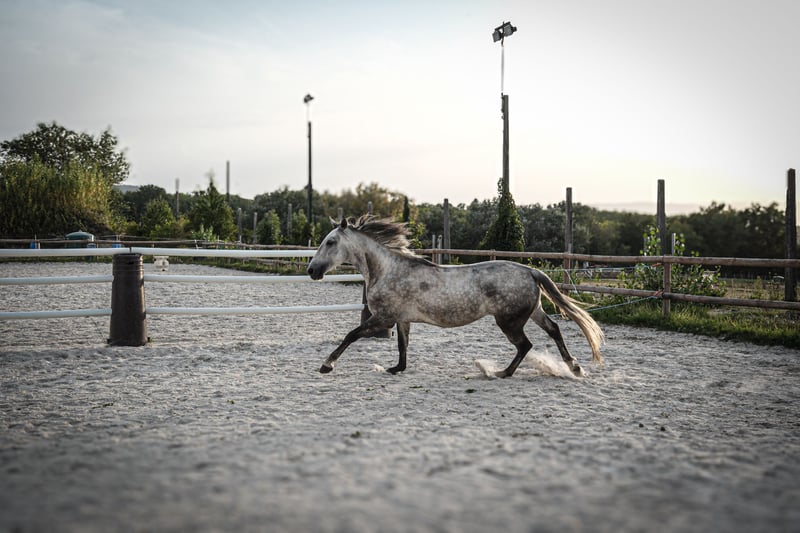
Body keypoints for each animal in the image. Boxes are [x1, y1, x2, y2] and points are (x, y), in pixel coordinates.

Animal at [307, 215, 604, 378]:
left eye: (330, 242)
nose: (311, 271)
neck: (388, 269)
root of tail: (531, 271)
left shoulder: (383, 318)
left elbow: (351, 335)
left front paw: (326, 365)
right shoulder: (402, 320)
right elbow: (402, 346)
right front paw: (396, 369)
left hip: (509, 321)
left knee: (525, 345)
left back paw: (500, 373)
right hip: (533, 312)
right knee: (553, 330)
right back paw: (575, 368)